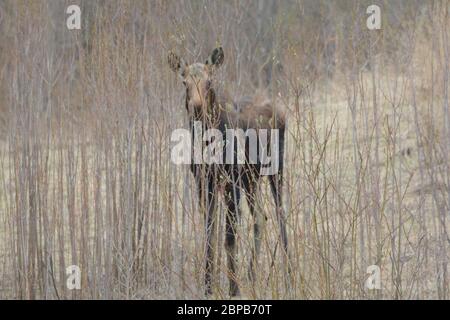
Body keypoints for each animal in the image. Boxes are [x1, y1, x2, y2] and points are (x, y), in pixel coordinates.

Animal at [169, 46, 292, 296]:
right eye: (184, 82)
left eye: (209, 81)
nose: (197, 107)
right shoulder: (204, 183)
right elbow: (210, 236)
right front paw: (208, 287)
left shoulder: (230, 182)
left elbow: (229, 239)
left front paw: (233, 289)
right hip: (251, 180)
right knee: (260, 218)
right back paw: (252, 277)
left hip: (275, 171)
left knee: (280, 215)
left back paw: (289, 278)